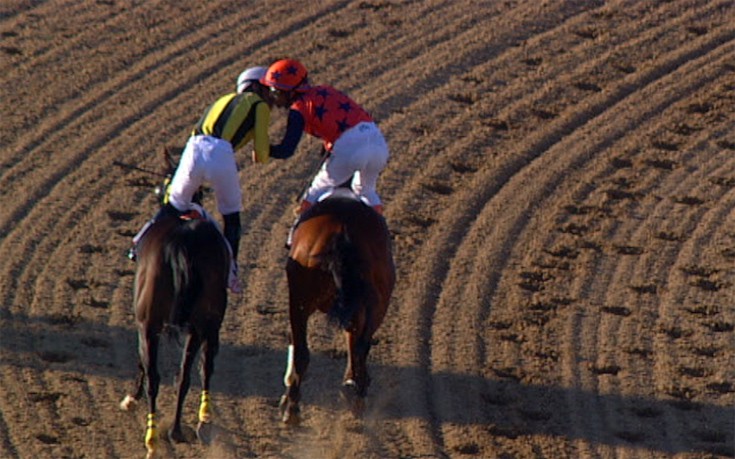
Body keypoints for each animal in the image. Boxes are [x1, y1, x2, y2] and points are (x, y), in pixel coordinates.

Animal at [118, 149, 230, 458]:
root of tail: (184, 243)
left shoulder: (145, 322)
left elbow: (143, 362)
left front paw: (131, 397)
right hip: (200, 323)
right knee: (186, 374)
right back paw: (179, 429)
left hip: (164, 321)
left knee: (160, 376)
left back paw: (154, 439)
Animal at [280, 190, 396, 424]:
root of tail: (342, 231)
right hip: (377, 302)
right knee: (360, 346)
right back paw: (357, 393)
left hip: (300, 298)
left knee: (303, 351)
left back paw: (293, 407)